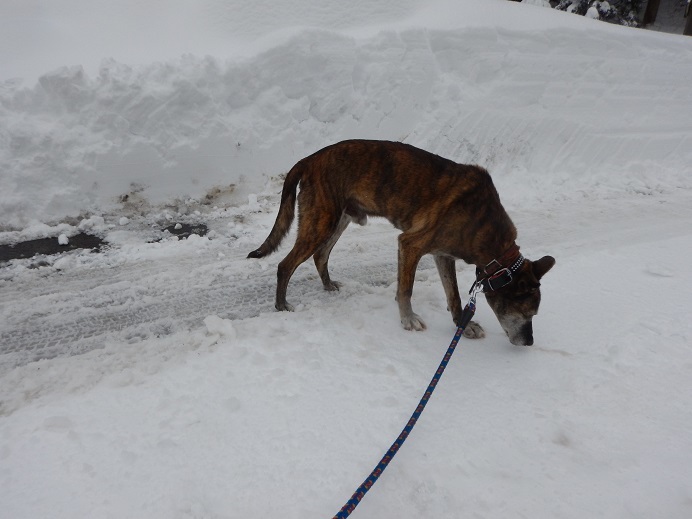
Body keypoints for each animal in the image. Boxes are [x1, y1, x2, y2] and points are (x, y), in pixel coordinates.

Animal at [246, 140, 556, 348]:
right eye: (527, 313)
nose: (529, 343)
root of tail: (310, 159)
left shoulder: (443, 254)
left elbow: (454, 295)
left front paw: (462, 324)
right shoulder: (410, 245)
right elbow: (405, 290)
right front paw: (408, 320)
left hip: (338, 219)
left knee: (321, 255)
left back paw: (327, 284)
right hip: (321, 221)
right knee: (285, 265)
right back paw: (281, 305)